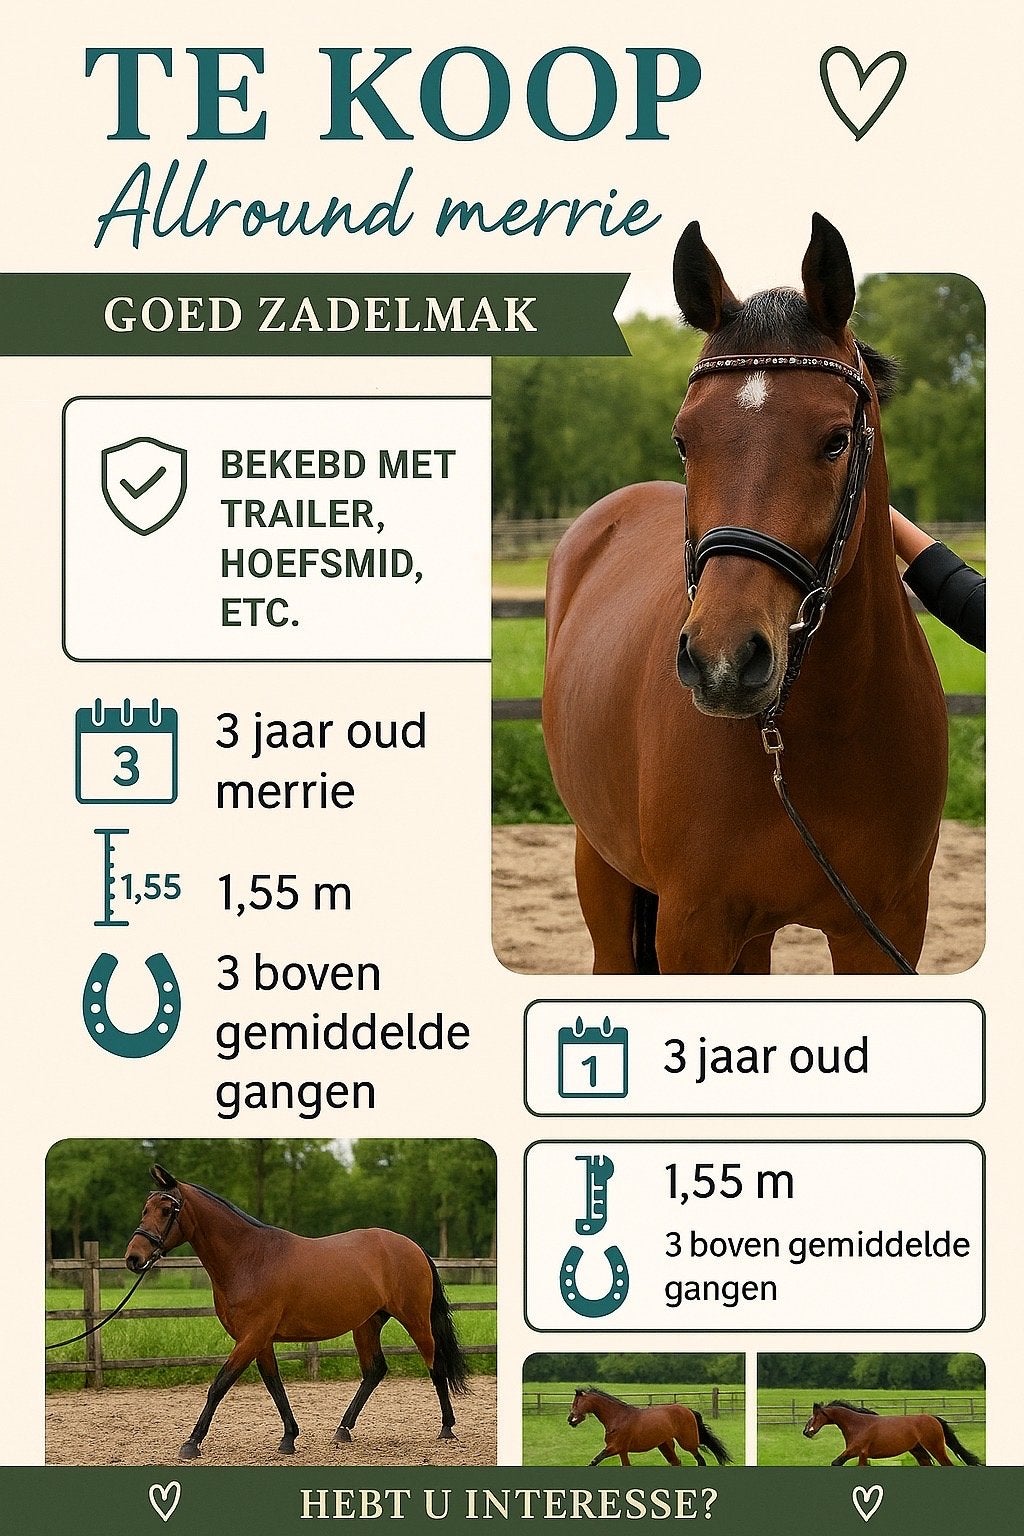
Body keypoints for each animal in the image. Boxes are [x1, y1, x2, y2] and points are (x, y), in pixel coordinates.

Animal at [123, 1165, 468, 1460]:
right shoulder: (260, 1340)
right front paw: (289, 1437)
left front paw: (192, 1442)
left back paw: (447, 1428)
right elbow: (274, 1385)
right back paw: (343, 1430)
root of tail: (413, 1247)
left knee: (435, 1365)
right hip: (367, 1324)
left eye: (167, 1210)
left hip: (415, 1320)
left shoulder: (251, 1337)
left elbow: (220, 1384)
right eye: (145, 1209)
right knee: (375, 1370)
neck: (249, 1258)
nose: (134, 1258)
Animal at [542, 214, 947, 974]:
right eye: (684, 440)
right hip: (600, 867)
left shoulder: (885, 930)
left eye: (836, 440)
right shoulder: (692, 929)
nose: (723, 661)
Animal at [567, 1387, 733, 1467]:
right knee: (676, 1462)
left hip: (688, 1443)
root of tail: (688, 1410)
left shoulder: (614, 1448)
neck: (617, 1418)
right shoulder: (622, 1451)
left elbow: (595, 1461)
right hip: (665, 1446)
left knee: (700, 1460)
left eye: (577, 1402)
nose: (570, 1420)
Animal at [803, 1399, 982, 1466]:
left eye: (814, 1416)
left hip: (935, 1447)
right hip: (918, 1450)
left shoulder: (857, 1451)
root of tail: (933, 1418)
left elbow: (836, 1463)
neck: (858, 1425)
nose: (806, 1432)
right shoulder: (861, 1454)